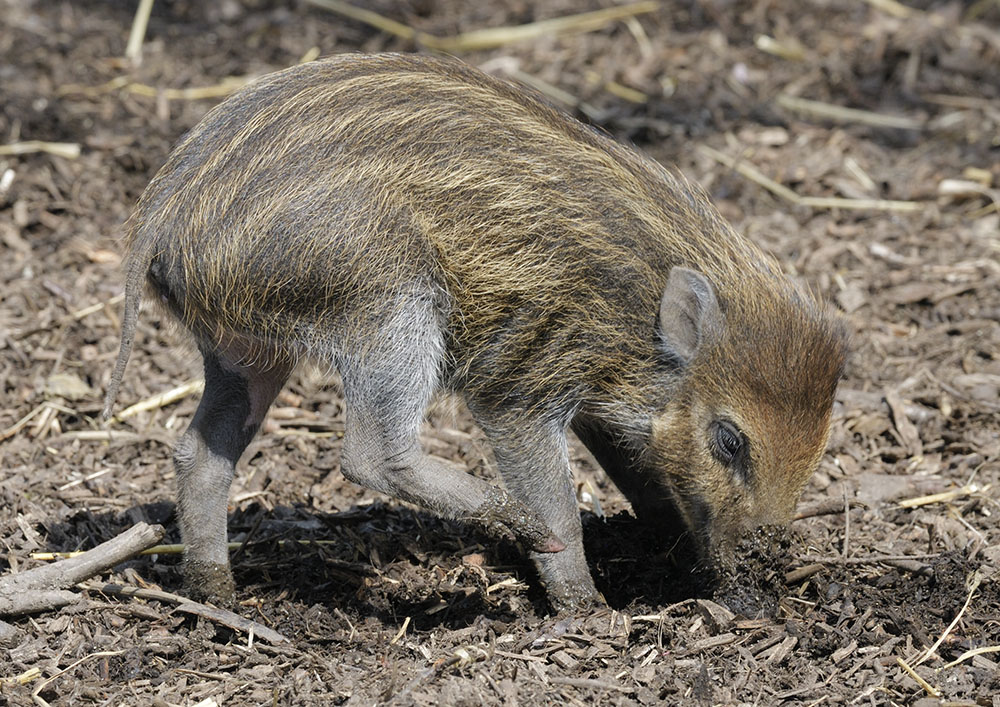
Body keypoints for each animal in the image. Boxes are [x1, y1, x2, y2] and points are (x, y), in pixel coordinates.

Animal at [103, 53, 848, 610]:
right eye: (729, 440)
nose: (760, 588)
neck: (638, 315)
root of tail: (163, 214)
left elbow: (647, 478)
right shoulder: (520, 386)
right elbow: (561, 502)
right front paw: (588, 608)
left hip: (245, 350)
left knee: (201, 453)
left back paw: (217, 596)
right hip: (389, 305)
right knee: (371, 453)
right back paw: (515, 525)